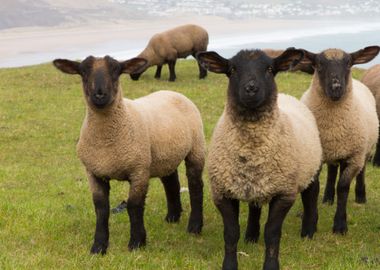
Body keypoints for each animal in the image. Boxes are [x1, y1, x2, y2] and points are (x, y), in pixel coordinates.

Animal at [52, 55, 205, 255]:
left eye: (116, 70)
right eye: (83, 71)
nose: (99, 94)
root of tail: (172, 92)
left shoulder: (139, 170)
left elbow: (134, 206)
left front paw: (137, 242)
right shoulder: (94, 172)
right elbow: (101, 208)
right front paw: (99, 246)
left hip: (196, 147)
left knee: (196, 186)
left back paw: (194, 226)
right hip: (165, 156)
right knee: (171, 183)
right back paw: (172, 217)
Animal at [197, 48, 322, 270]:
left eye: (270, 69)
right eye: (232, 69)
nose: (251, 88)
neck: (251, 149)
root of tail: (287, 96)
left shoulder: (284, 193)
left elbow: (272, 233)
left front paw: (271, 265)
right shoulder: (222, 192)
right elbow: (231, 233)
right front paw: (230, 265)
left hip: (311, 170)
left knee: (311, 197)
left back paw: (308, 232)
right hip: (255, 184)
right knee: (254, 206)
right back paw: (251, 237)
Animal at [300, 46, 380, 234]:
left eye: (349, 63)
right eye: (319, 64)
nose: (336, 87)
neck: (333, 129)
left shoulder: (353, 157)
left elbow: (343, 187)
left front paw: (340, 225)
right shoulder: (317, 156)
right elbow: (314, 189)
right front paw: (310, 225)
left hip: (362, 150)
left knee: (361, 171)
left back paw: (360, 196)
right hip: (333, 152)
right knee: (331, 170)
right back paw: (328, 198)